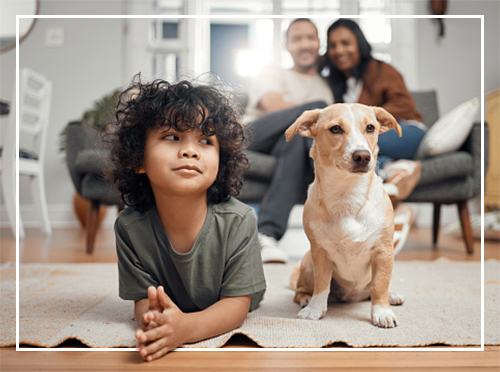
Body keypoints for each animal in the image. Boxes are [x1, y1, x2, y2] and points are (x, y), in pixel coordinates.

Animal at [288, 103, 404, 326]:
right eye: (335, 129)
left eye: (370, 127)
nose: (362, 156)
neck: (347, 194)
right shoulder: (320, 253)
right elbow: (322, 285)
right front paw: (315, 309)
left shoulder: (383, 252)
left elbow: (379, 285)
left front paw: (382, 311)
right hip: (307, 264)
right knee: (300, 290)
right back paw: (306, 299)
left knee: (375, 289)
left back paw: (392, 296)